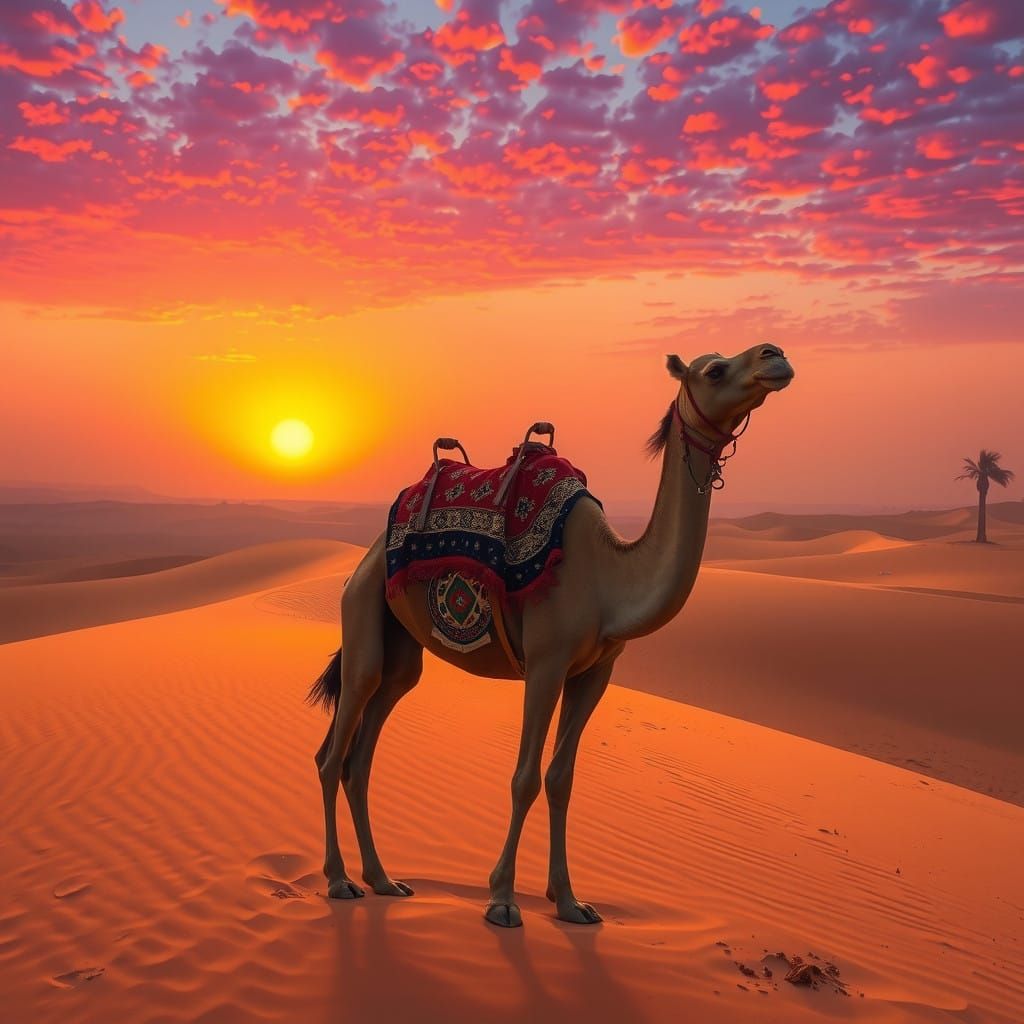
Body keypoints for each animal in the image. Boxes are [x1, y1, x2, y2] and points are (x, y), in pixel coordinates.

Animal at [310, 344, 794, 928]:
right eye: (715, 370)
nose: (775, 356)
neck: (610, 579)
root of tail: (362, 562)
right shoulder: (545, 663)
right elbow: (525, 777)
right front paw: (501, 899)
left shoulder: (596, 671)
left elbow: (562, 778)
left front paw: (570, 902)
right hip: (362, 619)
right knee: (333, 754)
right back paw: (339, 881)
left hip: (400, 654)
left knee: (361, 757)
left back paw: (384, 880)